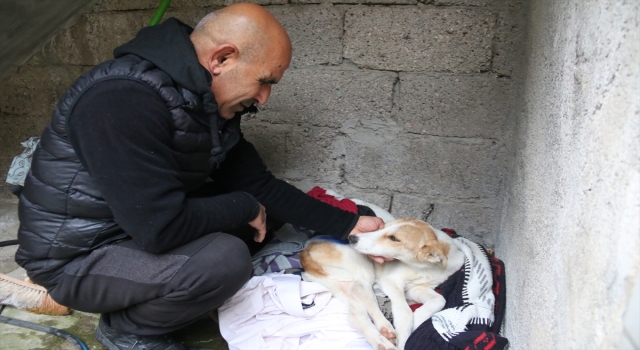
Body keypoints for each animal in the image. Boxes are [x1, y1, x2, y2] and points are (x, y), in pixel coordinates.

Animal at [300, 217, 464, 348]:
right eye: (382, 227)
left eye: (394, 238)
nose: (352, 238)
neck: (424, 268)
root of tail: (306, 249)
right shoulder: (390, 281)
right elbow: (404, 312)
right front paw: (405, 337)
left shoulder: (416, 289)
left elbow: (440, 299)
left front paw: (417, 320)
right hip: (362, 270)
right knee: (360, 290)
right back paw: (386, 329)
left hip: (336, 284)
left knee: (356, 314)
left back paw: (383, 343)